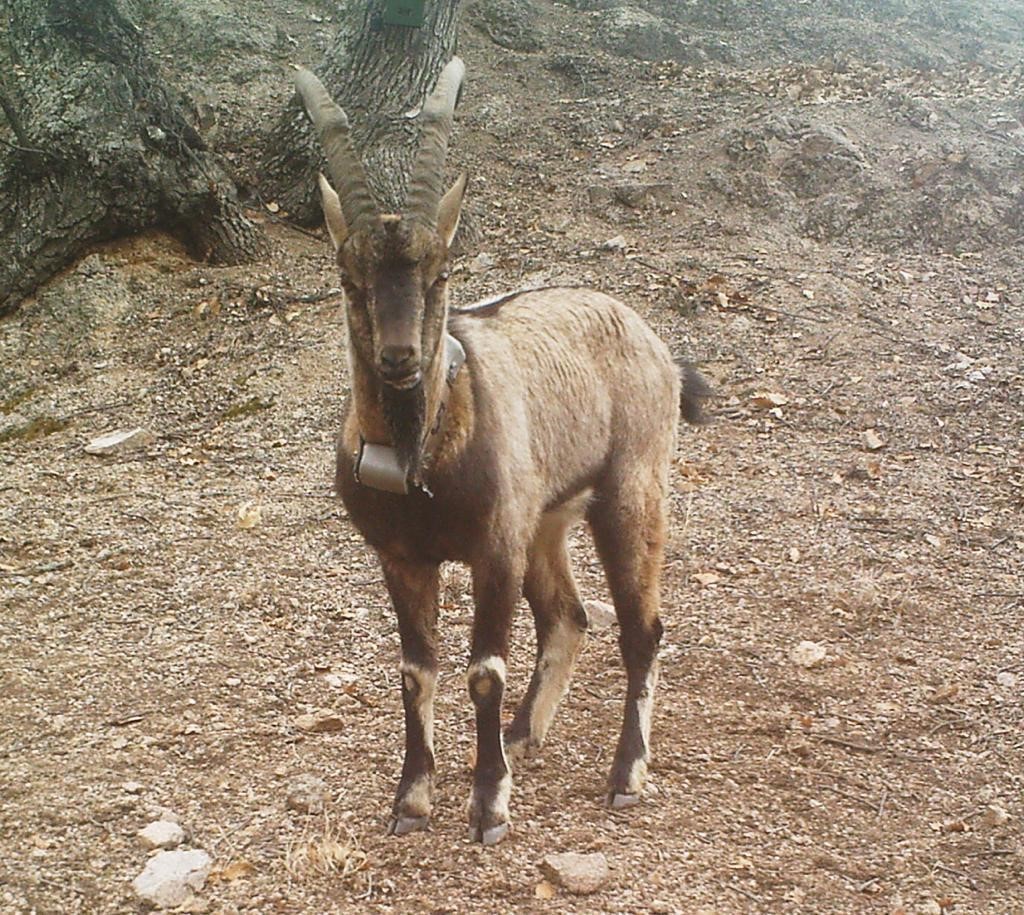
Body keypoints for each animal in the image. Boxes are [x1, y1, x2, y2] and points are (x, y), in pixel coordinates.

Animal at [296, 55, 708, 843]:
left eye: (441, 274)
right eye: (348, 280)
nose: (399, 358)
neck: (423, 459)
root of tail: (656, 346)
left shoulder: (493, 547)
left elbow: (483, 669)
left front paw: (488, 807)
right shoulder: (404, 557)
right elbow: (415, 670)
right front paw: (412, 799)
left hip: (630, 490)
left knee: (643, 628)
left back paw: (626, 774)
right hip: (544, 519)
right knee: (569, 615)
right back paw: (522, 734)